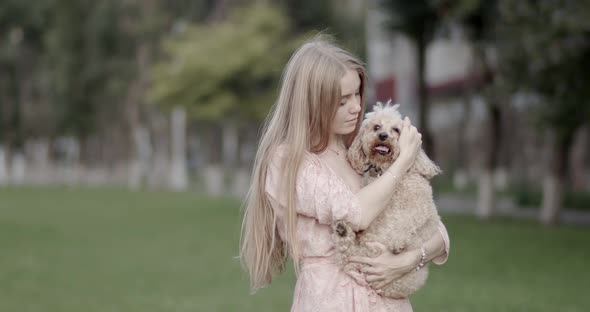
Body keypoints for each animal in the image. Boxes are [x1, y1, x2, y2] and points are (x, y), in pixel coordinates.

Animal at [332, 101, 444, 298]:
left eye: (396, 130)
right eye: (376, 127)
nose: (383, 135)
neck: (385, 172)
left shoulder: (418, 206)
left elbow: (403, 221)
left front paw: (397, 242)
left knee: (349, 256)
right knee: (347, 255)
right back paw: (343, 231)